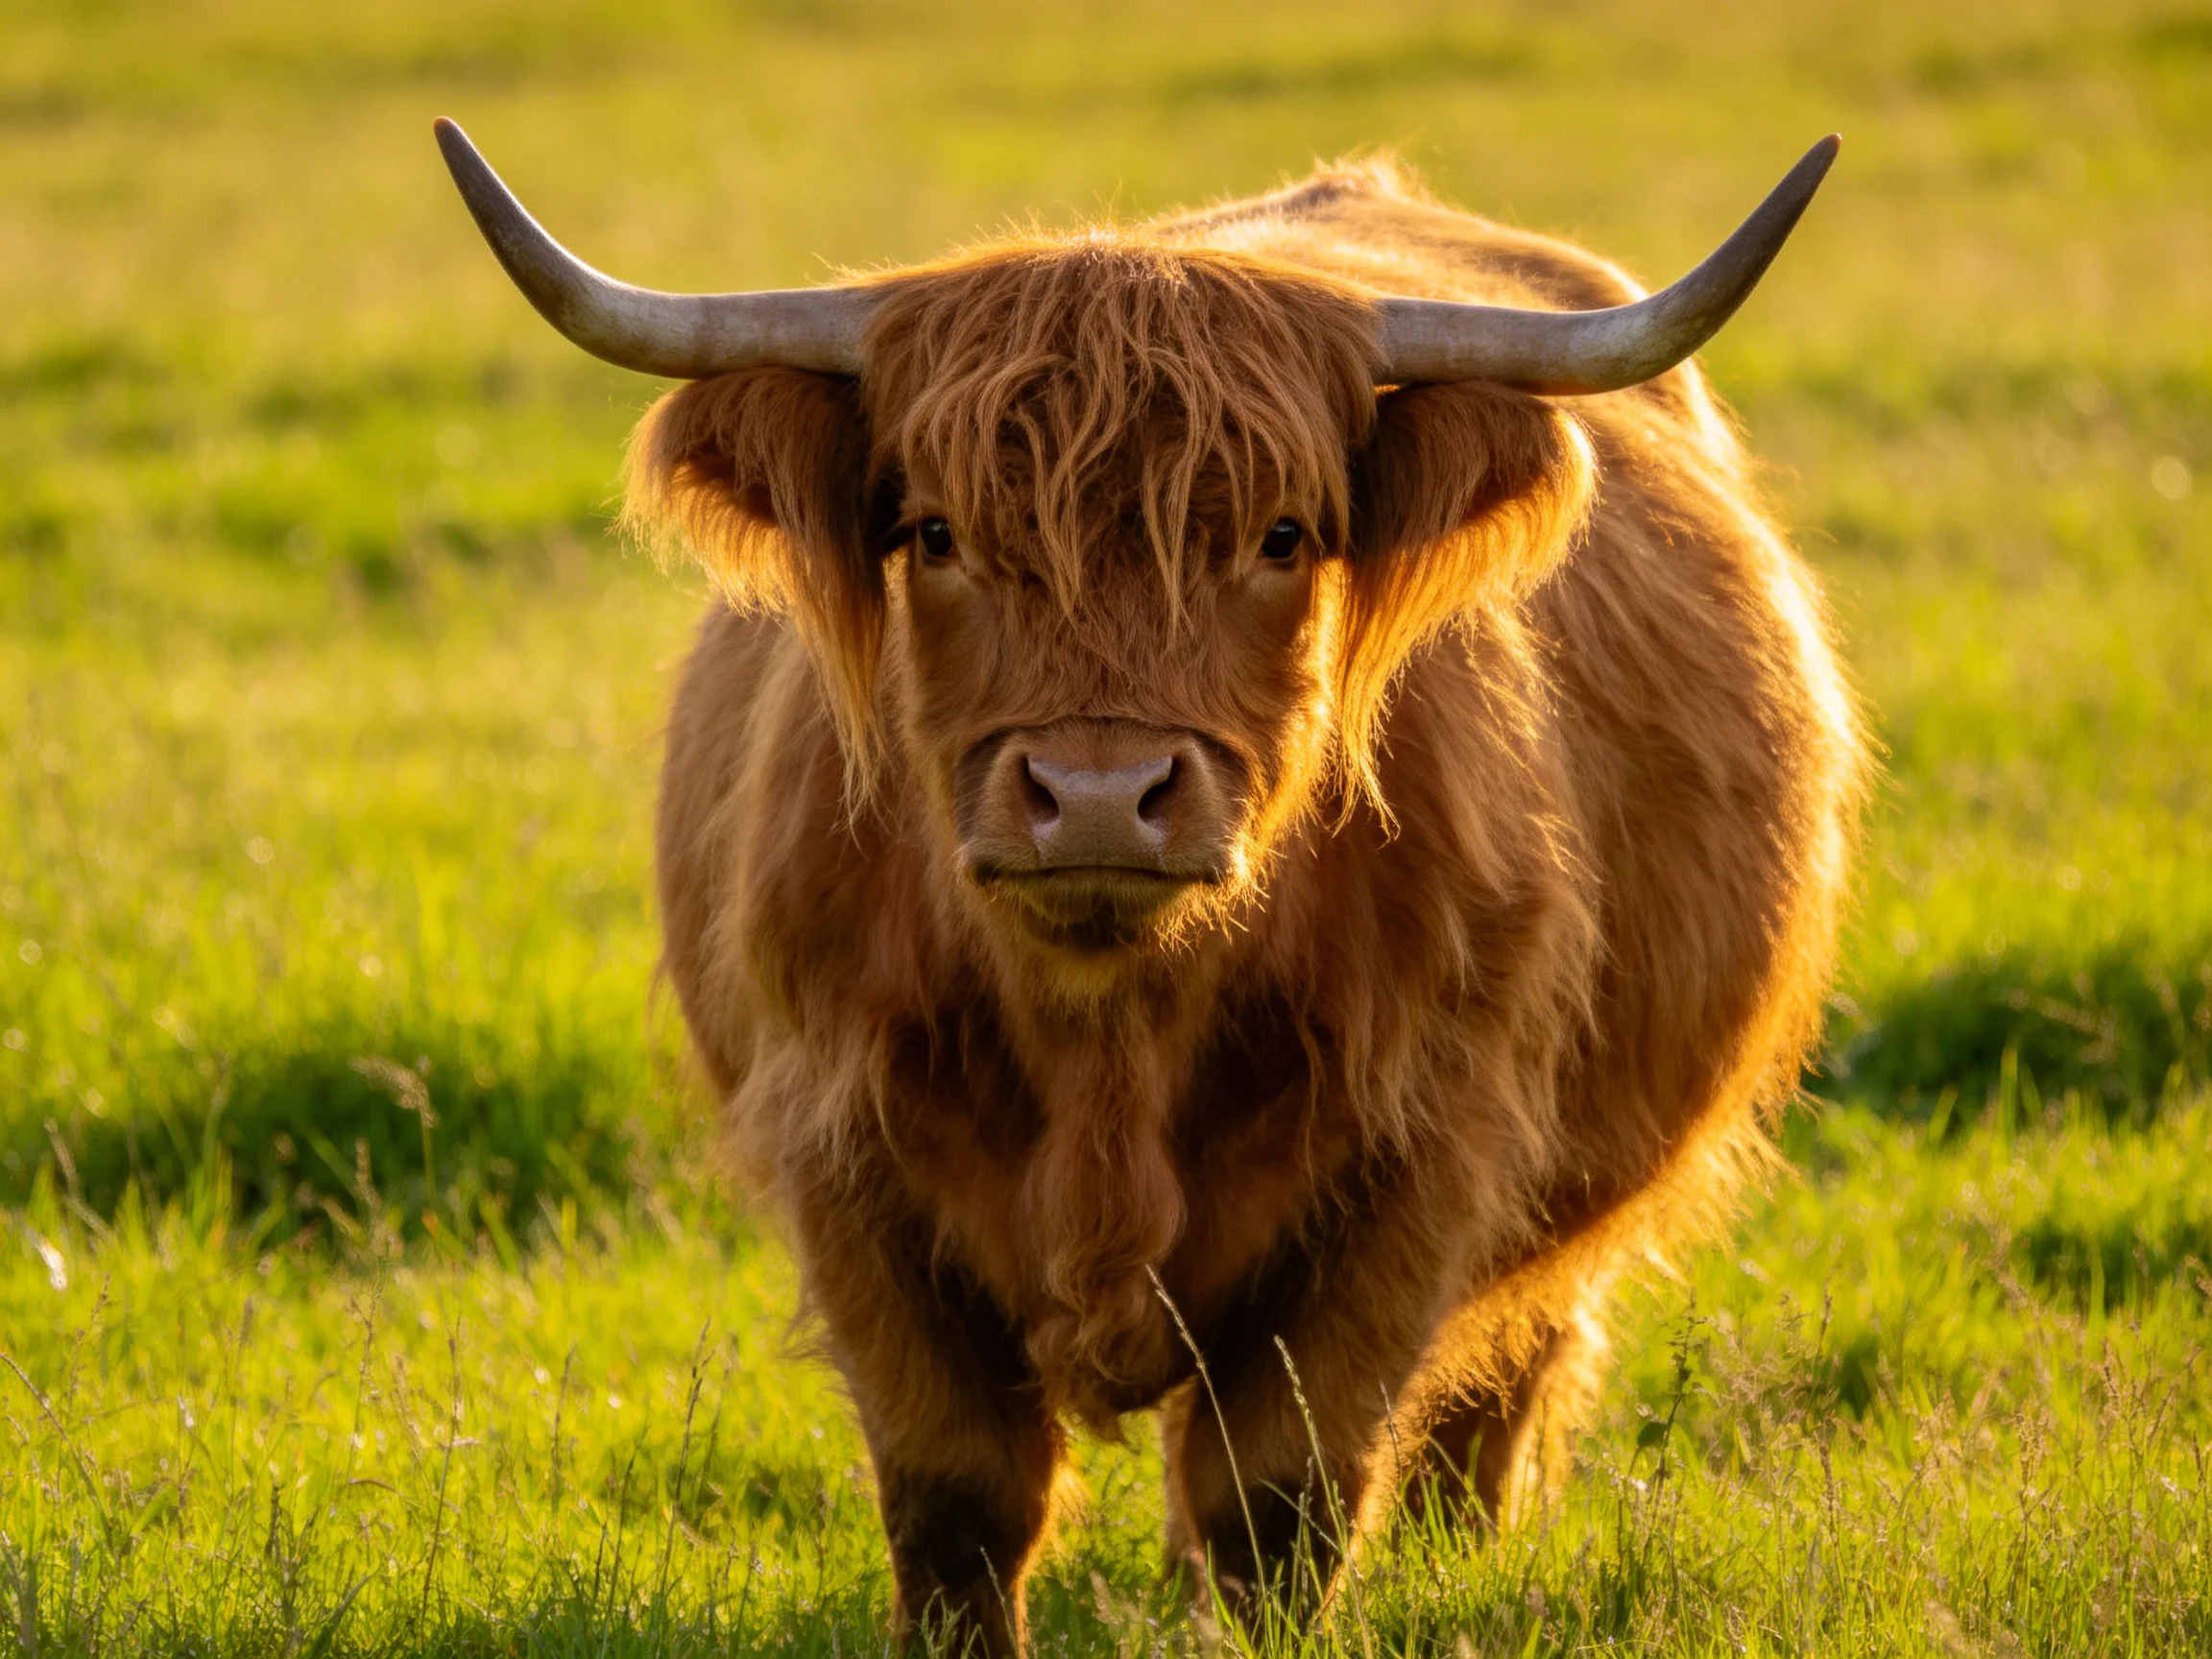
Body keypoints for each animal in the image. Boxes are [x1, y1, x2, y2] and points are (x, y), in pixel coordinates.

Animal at [436, 119, 1863, 1654]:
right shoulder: (844, 1156)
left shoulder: (1419, 1159)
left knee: (1495, 1395)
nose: (1100, 795)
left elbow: (1276, 1499)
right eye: (935, 535)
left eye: (1283, 536)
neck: (1107, 1028)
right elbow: (958, 1499)